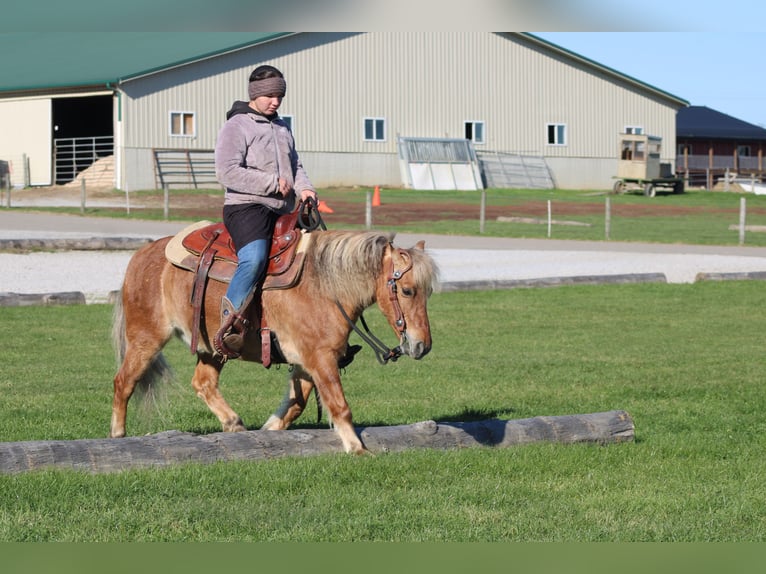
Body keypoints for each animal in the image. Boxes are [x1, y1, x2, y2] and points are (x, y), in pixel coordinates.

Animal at [110, 228, 439, 454]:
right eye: (407, 290)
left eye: (428, 292)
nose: (422, 345)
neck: (325, 286)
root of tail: (142, 255)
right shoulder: (320, 357)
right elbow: (339, 404)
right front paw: (356, 447)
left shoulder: (307, 361)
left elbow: (298, 403)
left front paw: (269, 429)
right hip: (146, 338)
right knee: (123, 382)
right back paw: (117, 436)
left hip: (212, 347)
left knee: (203, 382)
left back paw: (234, 424)